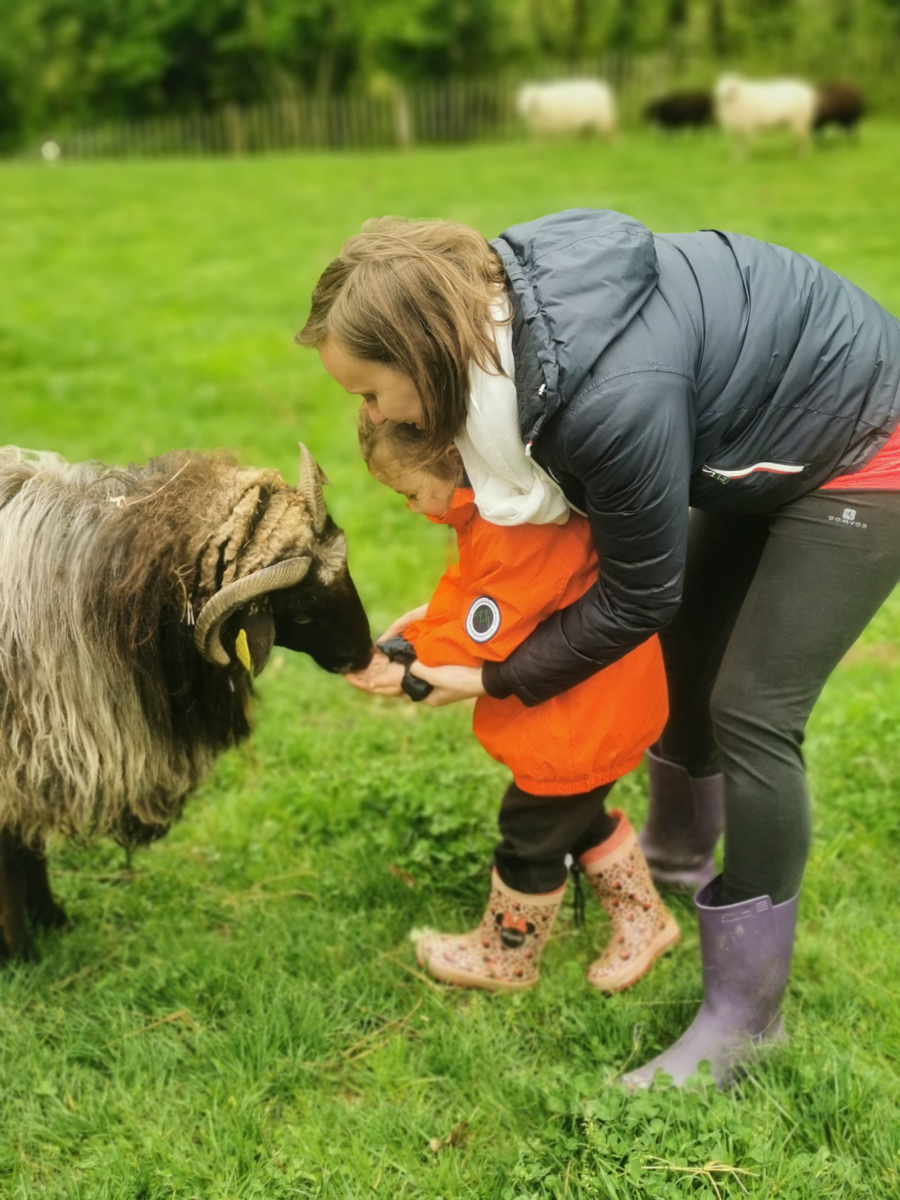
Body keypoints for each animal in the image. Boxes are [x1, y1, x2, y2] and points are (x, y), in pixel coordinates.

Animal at [0, 441, 374, 955]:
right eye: (299, 613)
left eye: (346, 572)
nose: (365, 655)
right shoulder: (24, 754)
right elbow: (14, 856)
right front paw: (22, 950)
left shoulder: (38, 757)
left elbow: (28, 843)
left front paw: (52, 920)